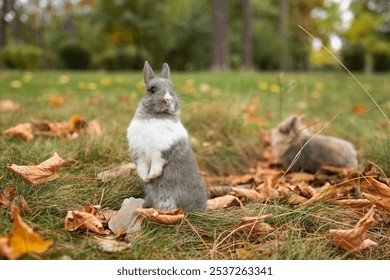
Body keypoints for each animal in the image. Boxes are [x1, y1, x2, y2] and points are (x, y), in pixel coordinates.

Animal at [126, 61, 209, 210]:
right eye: (152, 90)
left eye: (172, 89)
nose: (168, 99)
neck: (155, 116)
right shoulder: (138, 152)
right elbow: (142, 166)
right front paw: (146, 178)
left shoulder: (161, 149)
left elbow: (156, 164)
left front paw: (153, 175)